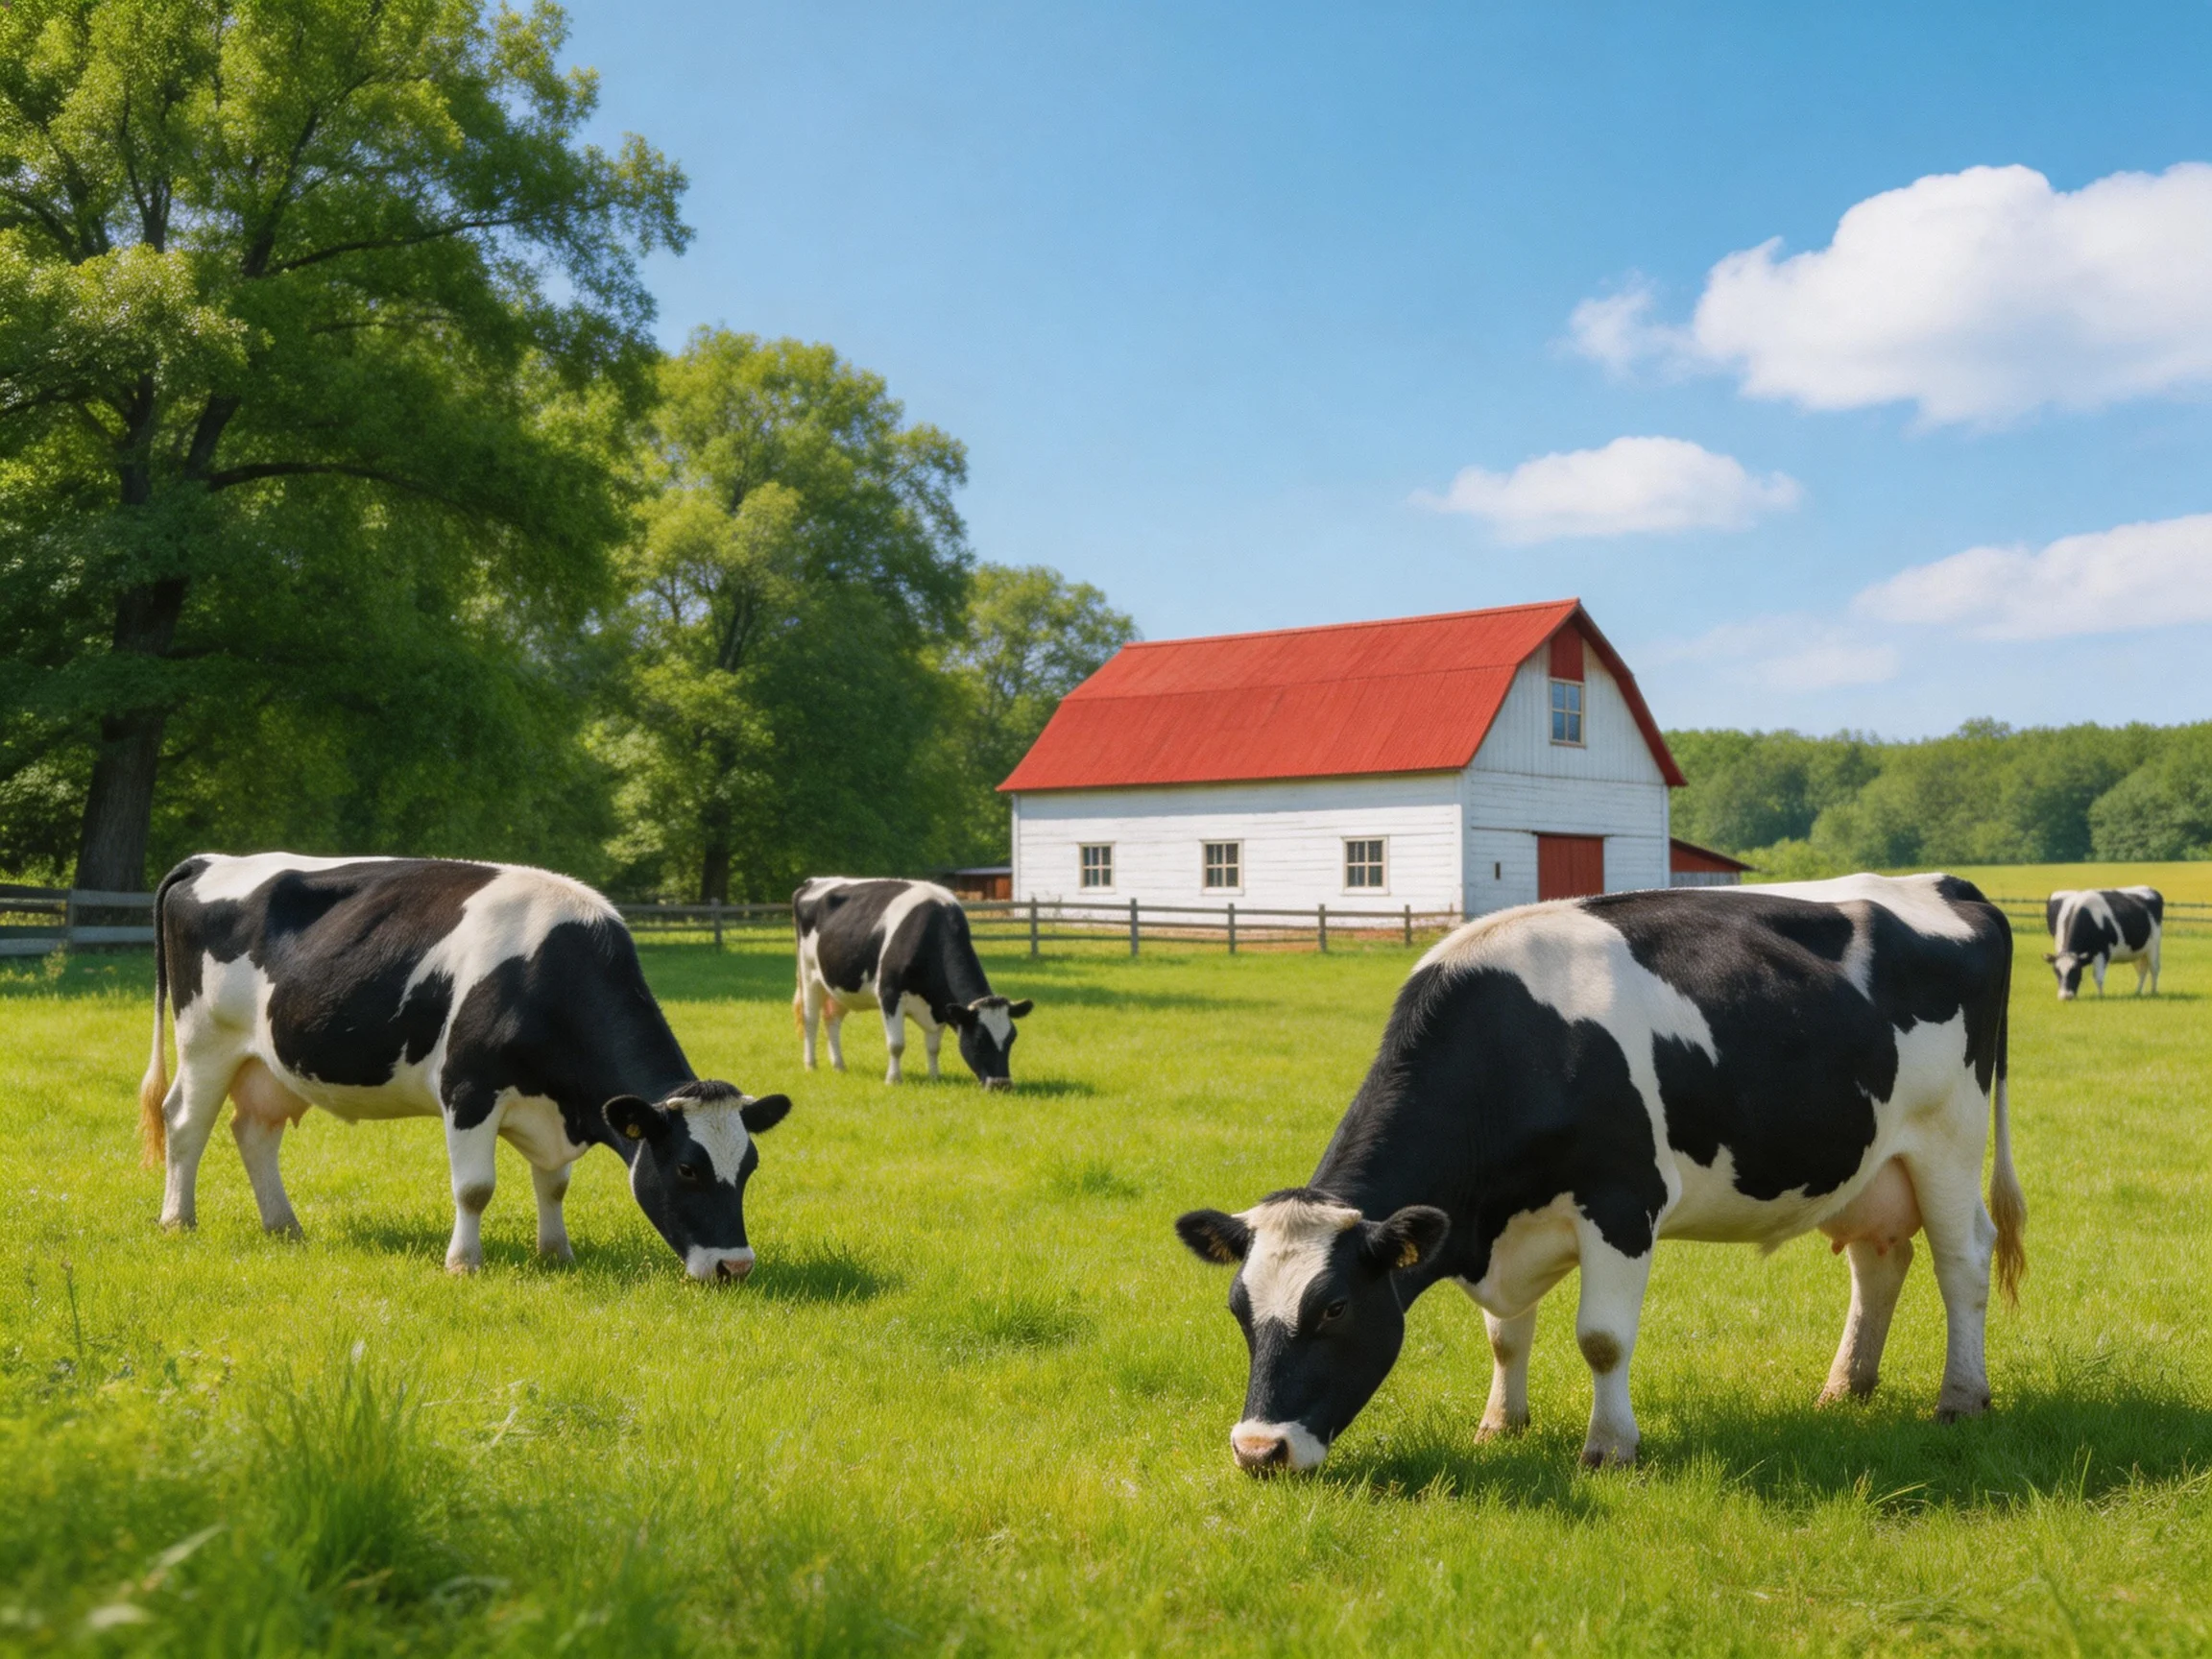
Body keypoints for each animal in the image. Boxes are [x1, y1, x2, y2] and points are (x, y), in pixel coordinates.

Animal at [138, 853, 793, 1280]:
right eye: (686, 1168)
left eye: (751, 1167)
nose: (735, 1267)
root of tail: (212, 859)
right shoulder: (469, 1090)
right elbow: (475, 1188)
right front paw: (463, 1263)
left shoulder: (553, 1107)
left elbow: (553, 1183)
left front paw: (556, 1253)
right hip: (206, 1040)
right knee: (185, 1123)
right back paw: (177, 1220)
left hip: (269, 1062)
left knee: (253, 1131)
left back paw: (284, 1227)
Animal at [793, 878, 1032, 1088]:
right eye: (980, 1039)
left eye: (1012, 1038)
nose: (1001, 1084)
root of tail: (811, 883)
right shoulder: (890, 993)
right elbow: (896, 1045)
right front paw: (893, 1080)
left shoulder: (940, 1006)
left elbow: (934, 1047)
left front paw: (935, 1077)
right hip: (809, 973)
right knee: (811, 1019)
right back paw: (811, 1065)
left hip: (838, 986)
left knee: (831, 1019)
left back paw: (839, 1066)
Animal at [1176, 873, 2025, 1474]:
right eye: (1238, 1310)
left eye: (1336, 1308)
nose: (1258, 1452)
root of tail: (1949, 885)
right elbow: (1505, 1337)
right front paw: (1500, 1426)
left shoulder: (1621, 1202)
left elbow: (1602, 1340)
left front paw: (1611, 1447)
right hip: (1873, 1162)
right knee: (1881, 1262)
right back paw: (1845, 1388)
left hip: (1948, 1136)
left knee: (1962, 1261)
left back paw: (1961, 1397)